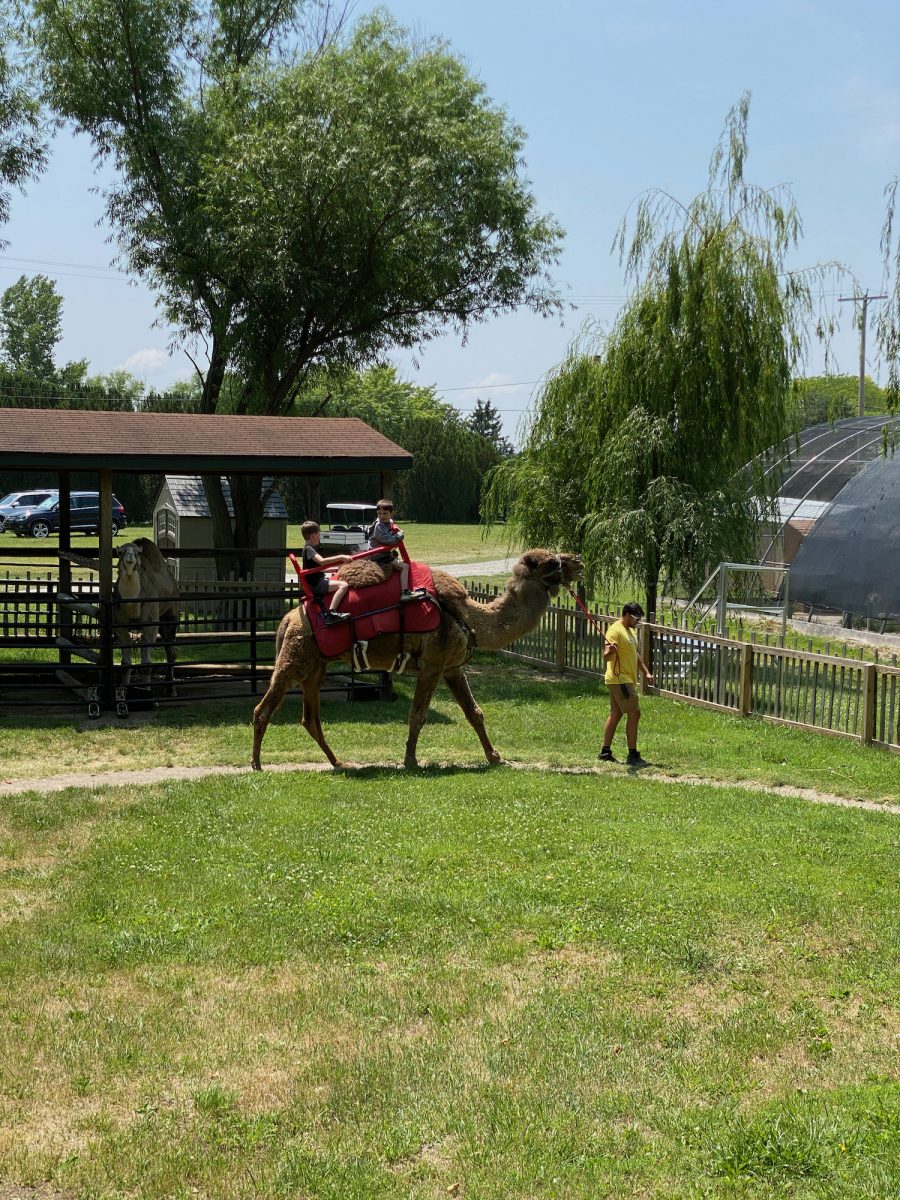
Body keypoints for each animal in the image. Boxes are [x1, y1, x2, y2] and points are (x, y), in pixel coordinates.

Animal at [113, 542, 181, 700]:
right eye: (120, 552)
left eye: (138, 553)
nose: (130, 559)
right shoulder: (121, 625)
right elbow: (125, 663)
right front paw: (123, 693)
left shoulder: (150, 625)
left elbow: (146, 664)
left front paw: (147, 692)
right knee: (169, 649)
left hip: (170, 617)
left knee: (171, 651)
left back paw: (171, 689)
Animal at [252, 549, 585, 772]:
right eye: (550, 562)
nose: (578, 561)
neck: (471, 616)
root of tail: (288, 619)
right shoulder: (433, 665)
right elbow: (418, 714)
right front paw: (411, 760)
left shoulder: (452, 667)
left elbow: (474, 713)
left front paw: (495, 757)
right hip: (294, 659)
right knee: (263, 708)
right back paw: (256, 764)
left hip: (316, 666)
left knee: (311, 718)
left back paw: (337, 762)